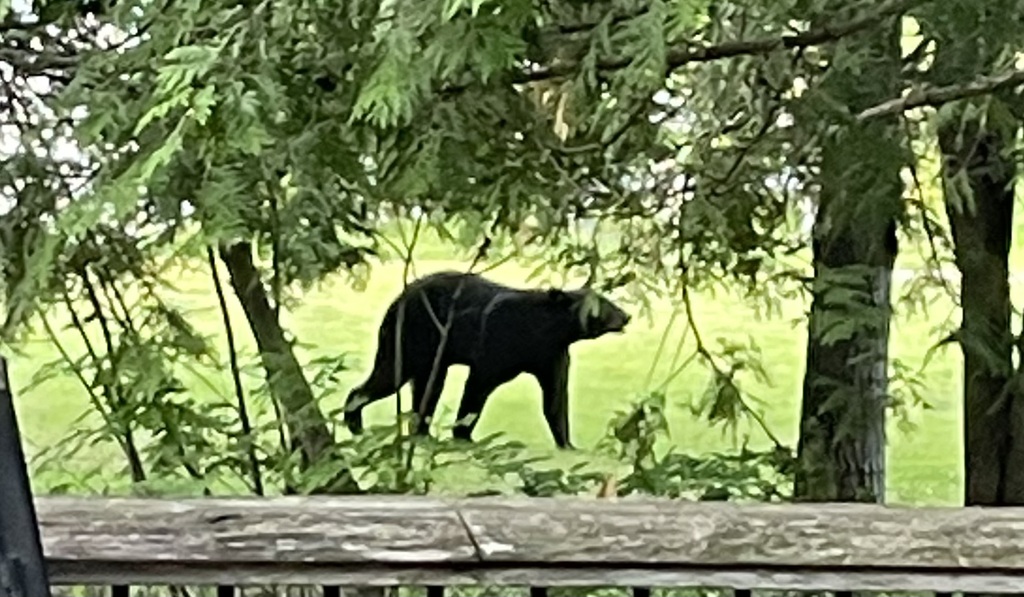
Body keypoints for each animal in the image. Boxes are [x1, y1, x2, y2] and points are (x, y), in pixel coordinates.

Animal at [343, 270, 631, 449]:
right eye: (605, 305)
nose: (626, 316)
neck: (546, 330)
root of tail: (397, 299)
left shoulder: (552, 355)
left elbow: (555, 397)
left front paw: (568, 444)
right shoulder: (498, 344)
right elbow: (477, 387)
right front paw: (463, 435)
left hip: (432, 354)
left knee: (428, 388)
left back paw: (422, 434)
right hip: (411, 337)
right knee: (391, 374)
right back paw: (354, 422)